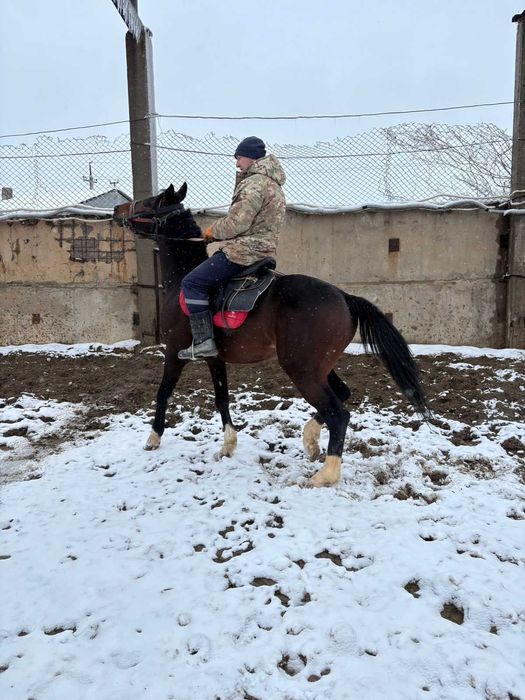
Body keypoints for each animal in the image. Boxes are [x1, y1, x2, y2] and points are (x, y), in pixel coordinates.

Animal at [114, 183, 429, 487]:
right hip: (319, 367)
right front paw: (227, 446)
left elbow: (163, 392)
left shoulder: (174, 351)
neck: (181, 280)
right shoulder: (214, 358)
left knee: (338, 415)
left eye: (151, 202)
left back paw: (325, 475)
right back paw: (311, 442)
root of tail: (345, 297)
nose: (117, 210)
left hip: (302, 370)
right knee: (342, 395)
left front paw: (153, 438)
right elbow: (221, 398)